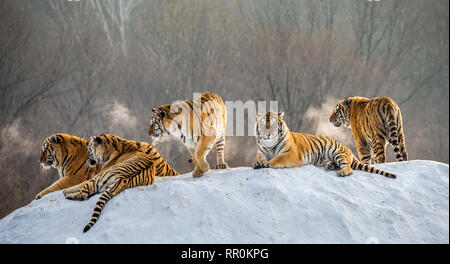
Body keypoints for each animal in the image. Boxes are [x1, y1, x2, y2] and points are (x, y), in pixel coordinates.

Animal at [253, 111, 398, 179]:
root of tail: (348, 149)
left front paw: (267, 164)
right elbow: (260, 158)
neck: (270, 145)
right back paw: (330, 166)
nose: (268, 134)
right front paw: (257, 163)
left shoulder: (289, 154)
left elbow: (276, 159)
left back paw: (341, 172)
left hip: (337, 152)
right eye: (263, 125)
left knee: (349, 168)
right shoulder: (261, 152)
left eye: (272, 125)